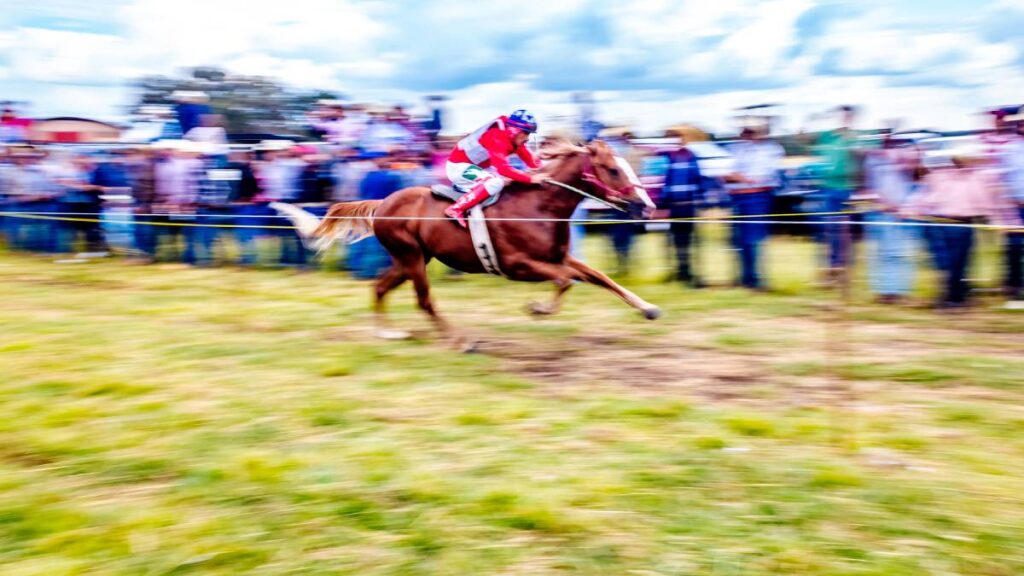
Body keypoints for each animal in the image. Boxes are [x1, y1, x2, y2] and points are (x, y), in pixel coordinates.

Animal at [274, 139, 663, 348]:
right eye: (613, 169)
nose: (647, 205)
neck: (540, 206)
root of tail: (383, 203)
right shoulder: (518, 265)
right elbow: (565, 281)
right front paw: (537, 308)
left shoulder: (560, 257)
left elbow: (599, 277)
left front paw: (648, 308)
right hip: (411, 257)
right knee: (424, 300)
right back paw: (461, 341)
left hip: (411, 258)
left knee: (380, 287)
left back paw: (388, 332)